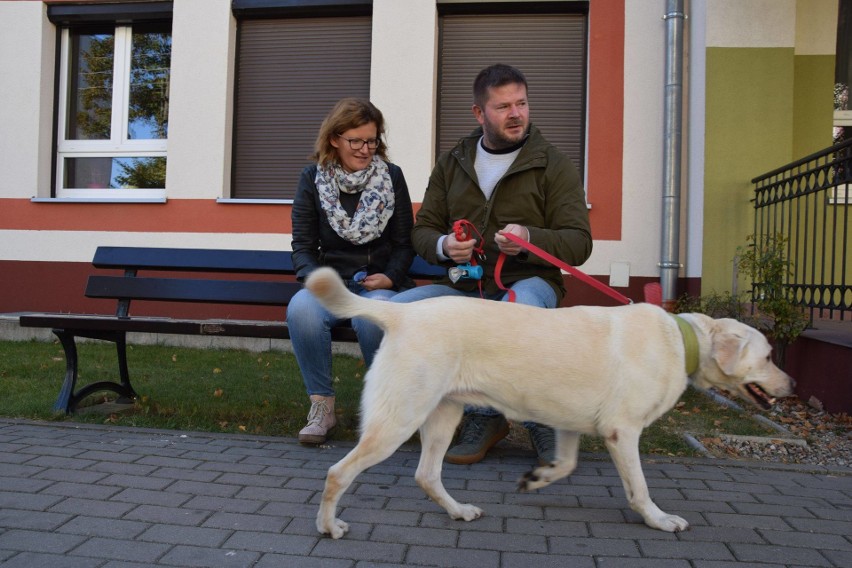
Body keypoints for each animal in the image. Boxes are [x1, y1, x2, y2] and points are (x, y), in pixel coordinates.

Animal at [304, 266, 792, 536]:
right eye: (769, 356)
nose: (790, 385)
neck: (682, 339)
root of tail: (403, 312)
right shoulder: (623, 431)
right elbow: (639, 489)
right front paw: (659, 519)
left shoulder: (572, 424)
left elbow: (567, 465)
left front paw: (537, 479)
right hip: (399, 418)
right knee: (337, 472)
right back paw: (328, 526)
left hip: (443, 416)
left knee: (427, 475)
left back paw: (459, 511)